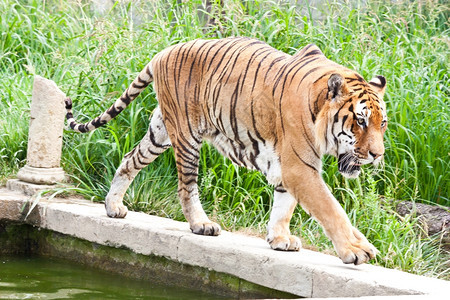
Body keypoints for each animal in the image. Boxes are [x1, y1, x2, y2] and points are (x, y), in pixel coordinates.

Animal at [66, 37, 386, 264]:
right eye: (360, 121)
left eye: (381, 123)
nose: (377, 154)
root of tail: (163, 52)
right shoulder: (299, 167)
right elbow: (332, 210)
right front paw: (354, 250)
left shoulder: (288, 168)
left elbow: (284, 206)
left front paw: (280, 239)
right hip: (186, 136)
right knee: (186, 187)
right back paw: (201, 224)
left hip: (160, 133)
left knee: (130, 159)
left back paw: (113, 206)